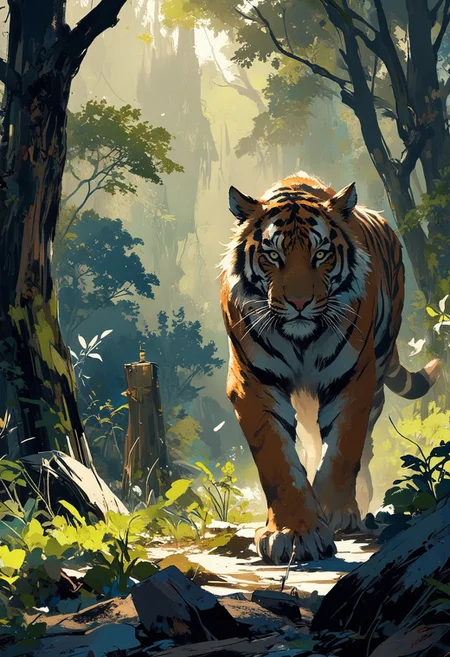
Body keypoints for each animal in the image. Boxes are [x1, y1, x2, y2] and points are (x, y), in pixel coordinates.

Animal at [220, 172, 441, 565]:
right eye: (272, 255)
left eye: (320, 254)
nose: (299, 303)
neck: (301, 341)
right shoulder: (253, 382)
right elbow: (278, 462)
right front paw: (294, 532)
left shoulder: (353, 379)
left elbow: (343, 448)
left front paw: (335, 512)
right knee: (309, 439)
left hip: (378, 368)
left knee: (363, 446)